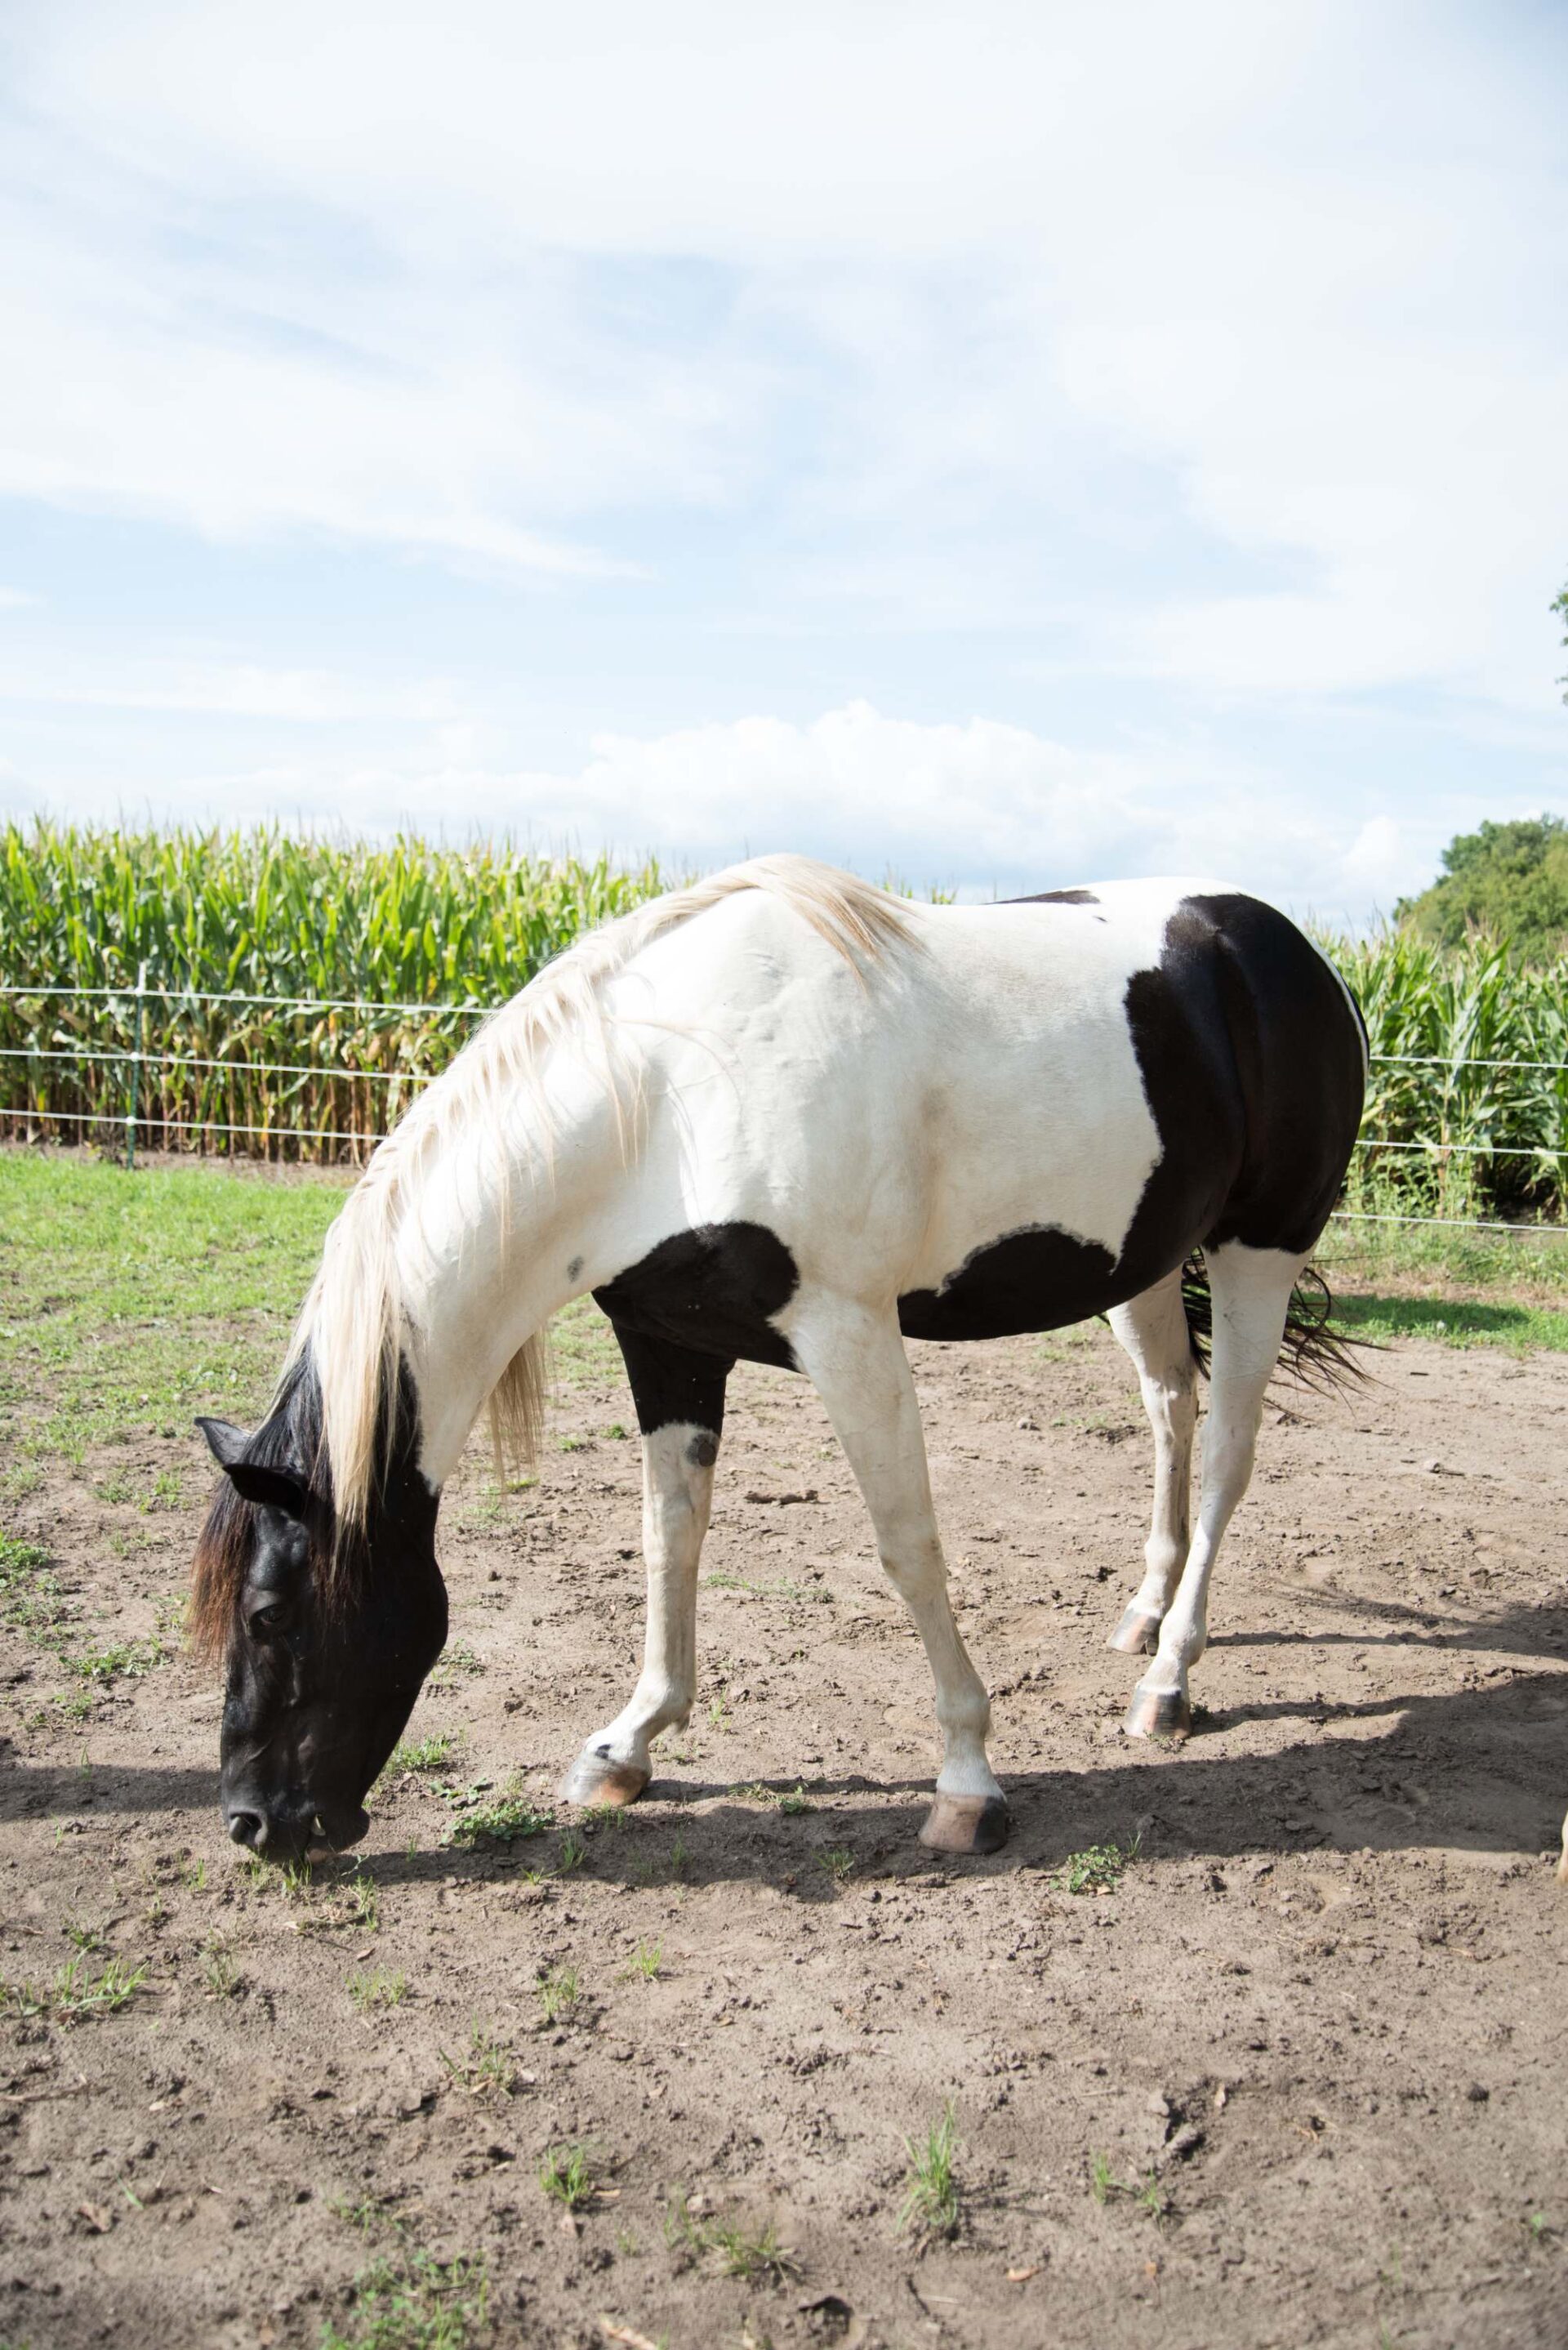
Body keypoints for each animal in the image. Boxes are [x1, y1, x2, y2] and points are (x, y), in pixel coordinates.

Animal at [190, 855, 1363, 1861]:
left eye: (267, 1613)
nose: (255, 1823)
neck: (670, 1094)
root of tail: (1277, 945)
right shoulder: (665, 1345)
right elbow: (669, 1539)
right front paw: (627, 1744)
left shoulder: (849, 1332)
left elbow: (907, 1549)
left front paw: (967, 1784)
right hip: (1145, 1264)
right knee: (1169, 1408)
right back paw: (1142, 1616)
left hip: (1260, 1249)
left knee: (1227, 1454)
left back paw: (1169, 1678)